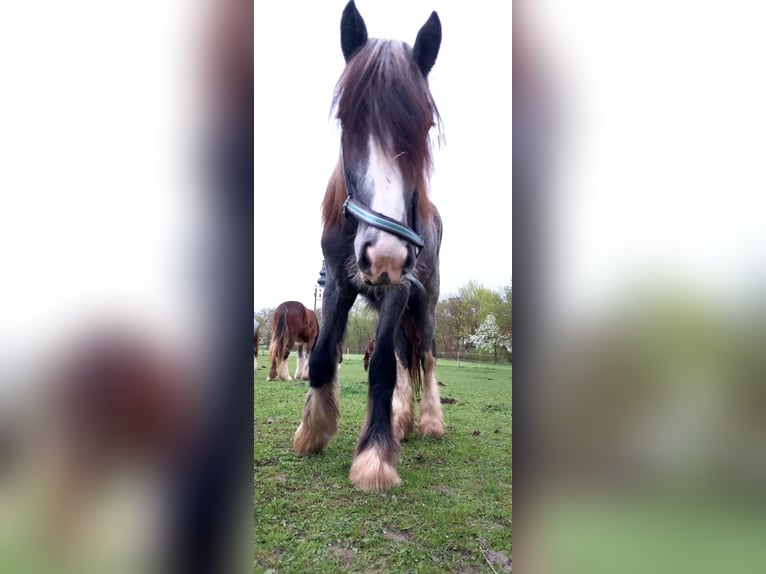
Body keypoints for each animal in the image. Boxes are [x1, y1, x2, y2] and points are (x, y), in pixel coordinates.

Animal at [296, 2, 450, 492]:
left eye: (425, 126)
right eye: (347, 120)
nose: (385, 255)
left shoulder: (398, 287)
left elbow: (381, 366)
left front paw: (374, 457)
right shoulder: (338, 283)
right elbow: (324, 355)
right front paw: (314, 430)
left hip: (423, 303)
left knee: (425, 356)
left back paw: (429, 422)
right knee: (404, 357)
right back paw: (400, 421)